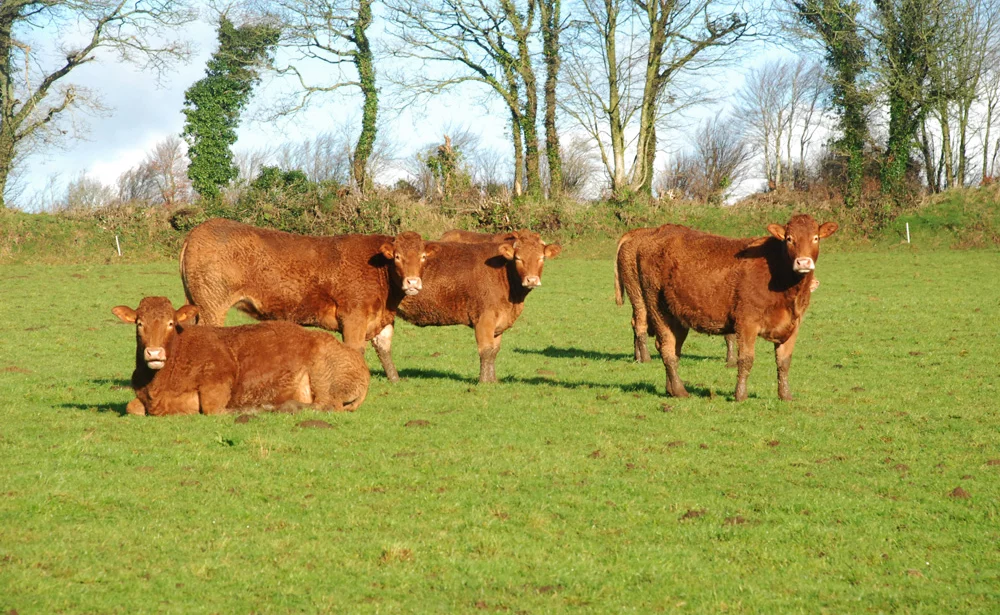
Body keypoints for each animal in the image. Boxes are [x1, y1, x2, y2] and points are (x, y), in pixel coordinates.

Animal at [113, 298, 372, 416]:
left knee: (326, 405)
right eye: (139, 324)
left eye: (170, 323)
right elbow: (131, 406)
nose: (154, 353)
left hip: (323, 378)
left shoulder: (216, 389)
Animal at [180, 219, 438, 382]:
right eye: (397, 257)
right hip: (212, 305)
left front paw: (395, 381)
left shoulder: (381, 319)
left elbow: (384, 349)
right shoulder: (354, 316)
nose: (412, 282)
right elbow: (355, 350)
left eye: (423, 257)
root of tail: (199, 229)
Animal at [384, 231, 564, 382]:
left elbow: (494, 351)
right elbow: (486, 351)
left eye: (541, 258)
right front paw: (484, 382)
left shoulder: (499, 322)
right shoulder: (484, 320)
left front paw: (493, 381)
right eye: (518, 258)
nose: (531, 280)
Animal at [636, 214, 840, 402]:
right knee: (667, 349)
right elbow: (746, 359)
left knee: (673, 349)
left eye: (815, 238)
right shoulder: (747, 322)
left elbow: (784, 362)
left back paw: (671, 389)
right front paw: (740, 395)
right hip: (657, 308)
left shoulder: (793, 324)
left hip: (677, 317)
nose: (803, 262)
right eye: (789, 238)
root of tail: (660, 232)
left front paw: (785, 395)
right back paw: (680, 391)